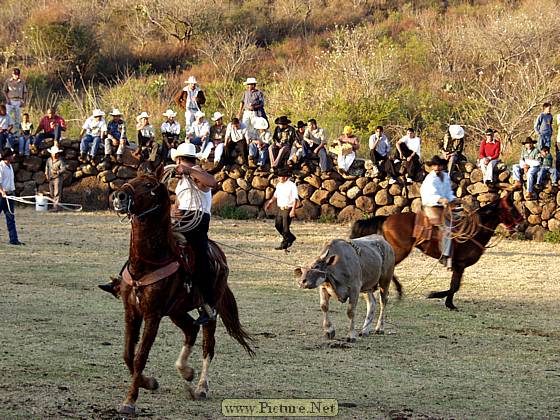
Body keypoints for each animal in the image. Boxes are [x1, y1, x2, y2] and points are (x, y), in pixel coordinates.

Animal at [112, 163, 253, 414]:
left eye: (148, 184)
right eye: (134, 179)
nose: (119, 196)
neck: (147, 263)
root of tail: (219, 254)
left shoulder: (153, 315)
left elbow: (140, 356)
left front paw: (129, 401)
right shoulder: (131, 312)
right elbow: (128, 355)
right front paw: (149, 382)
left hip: (210, 309)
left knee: (208, 345)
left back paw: (201, 387)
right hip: (176, 310)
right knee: (190, 330)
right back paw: (185, 371)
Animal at [350, 193, 524, 308]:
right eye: (512, 208)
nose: (522, 224)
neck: (475, 231)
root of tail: (387, 218)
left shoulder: (459, 267)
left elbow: (455, 286)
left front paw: (448, 302)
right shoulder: (459, 265)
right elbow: (455, 286)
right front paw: (436, 296)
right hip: (400, 250)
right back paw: (397, 291)